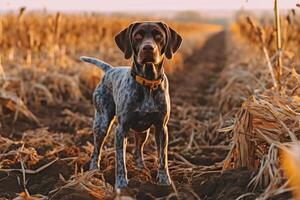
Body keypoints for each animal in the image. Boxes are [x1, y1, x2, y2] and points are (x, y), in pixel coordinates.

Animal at [79, 21, 182, 189]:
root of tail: (110, 70)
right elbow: (120, 160)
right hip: (102, 123)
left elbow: (162, 157)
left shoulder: (161, 128)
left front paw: (164, 180)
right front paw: (121, 184)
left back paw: (141, 168)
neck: (148, 83)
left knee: (137, 151)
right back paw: (93, 171)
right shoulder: (121, 129)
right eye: (138, 35)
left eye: (158, 35)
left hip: (143, 131)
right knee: (96, 149)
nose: (148, 48)